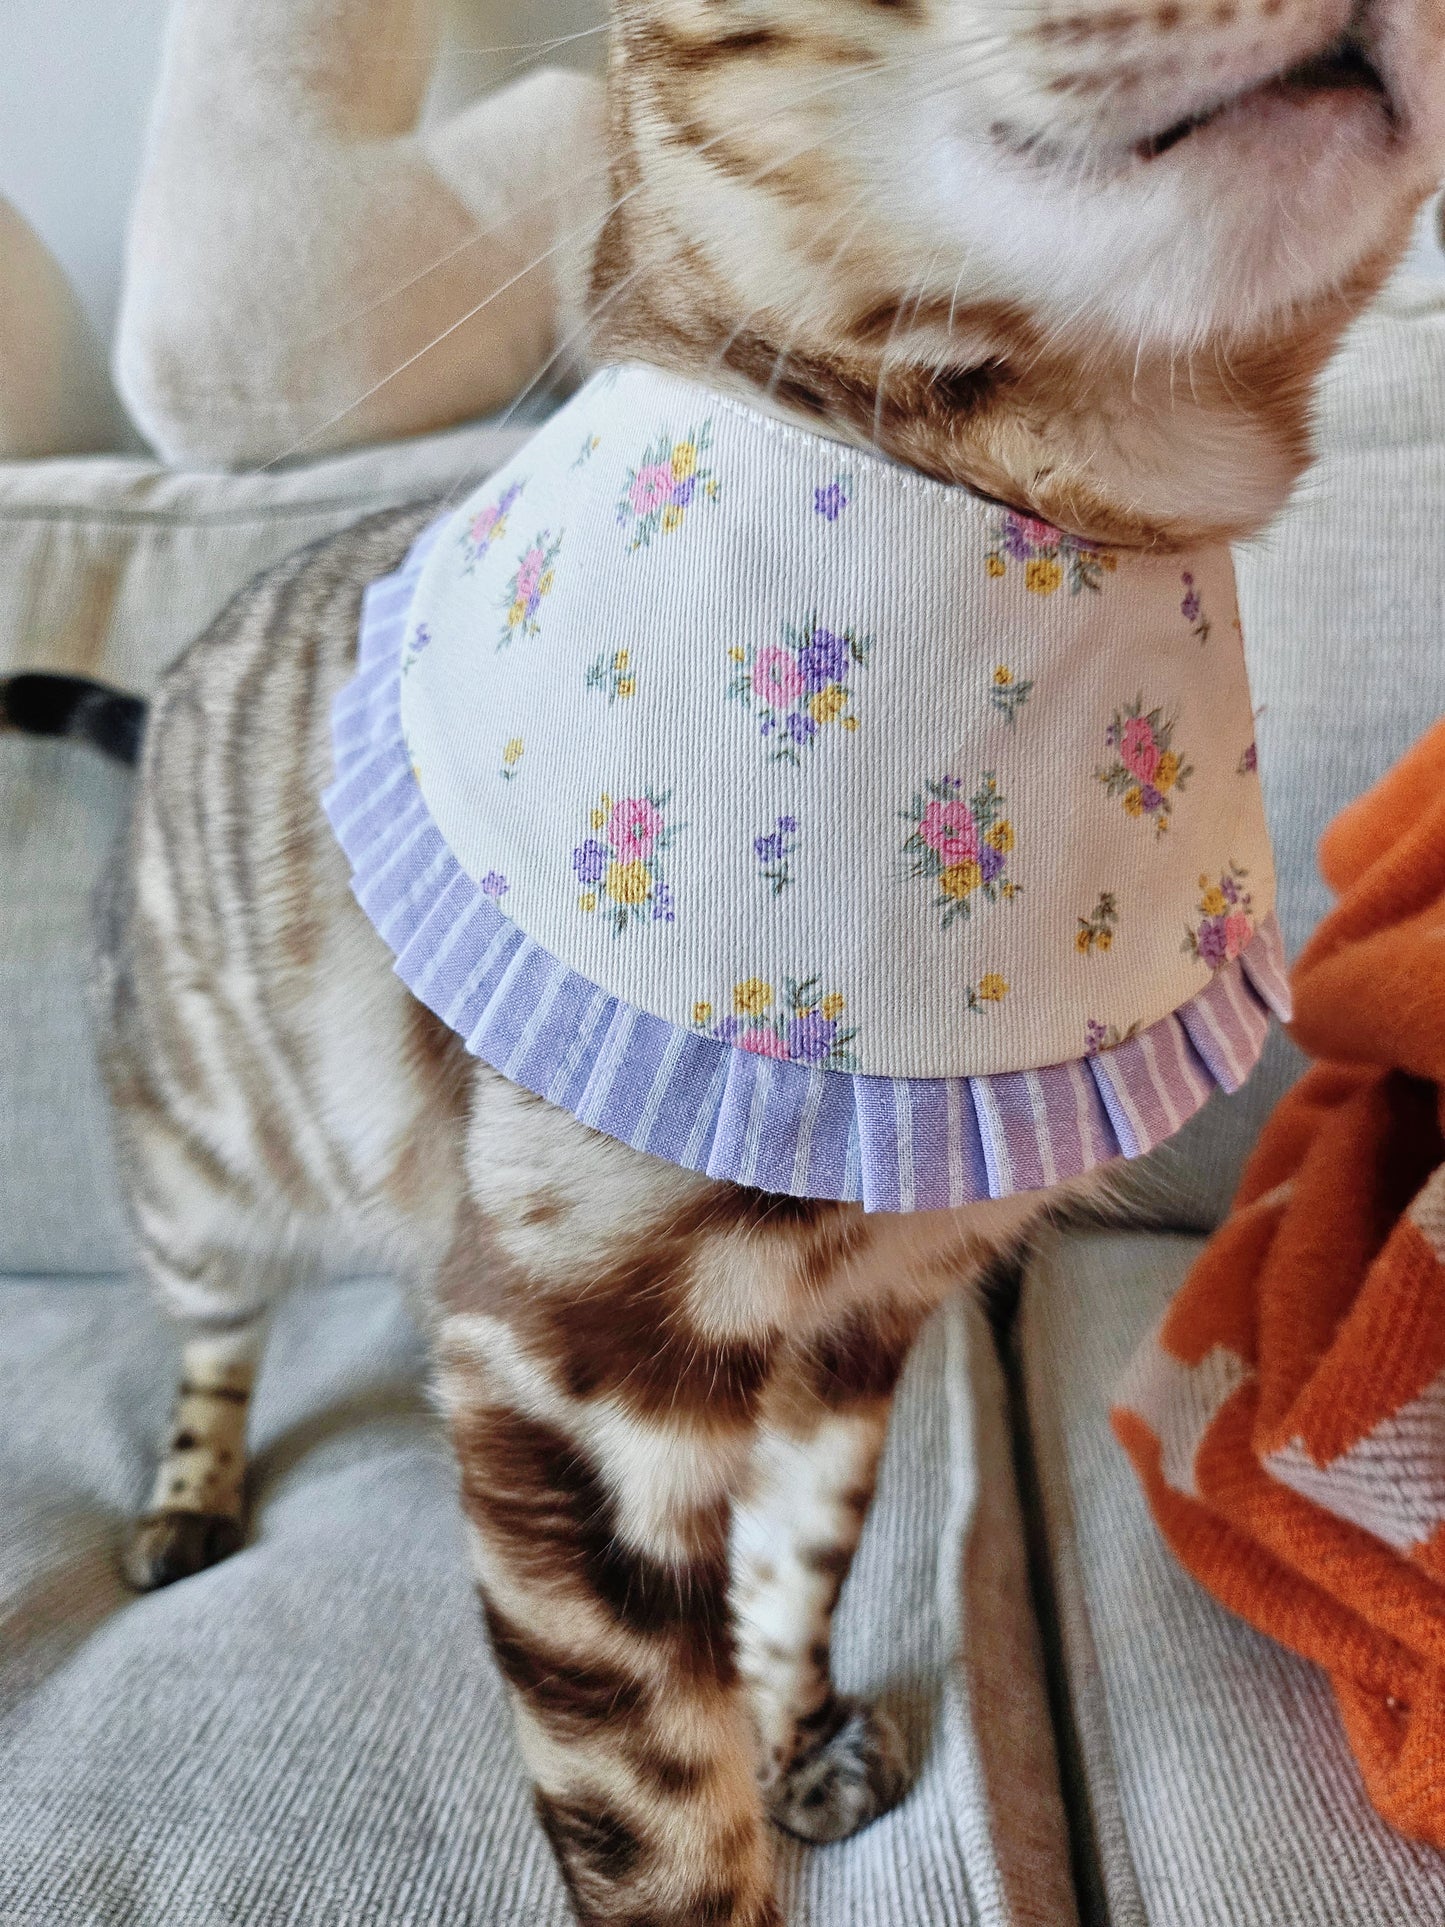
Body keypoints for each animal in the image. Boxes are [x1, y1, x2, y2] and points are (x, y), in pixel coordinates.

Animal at [6, 1, 1445, 1922]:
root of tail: (157, 691)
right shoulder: (570, 1365)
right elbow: (660, 1814)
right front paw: (731, 1804)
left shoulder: (865, 1324)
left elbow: (798, 1559)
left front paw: (798, 1724)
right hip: (201, 1172)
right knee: (212, 1339)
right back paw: (187, 1493)